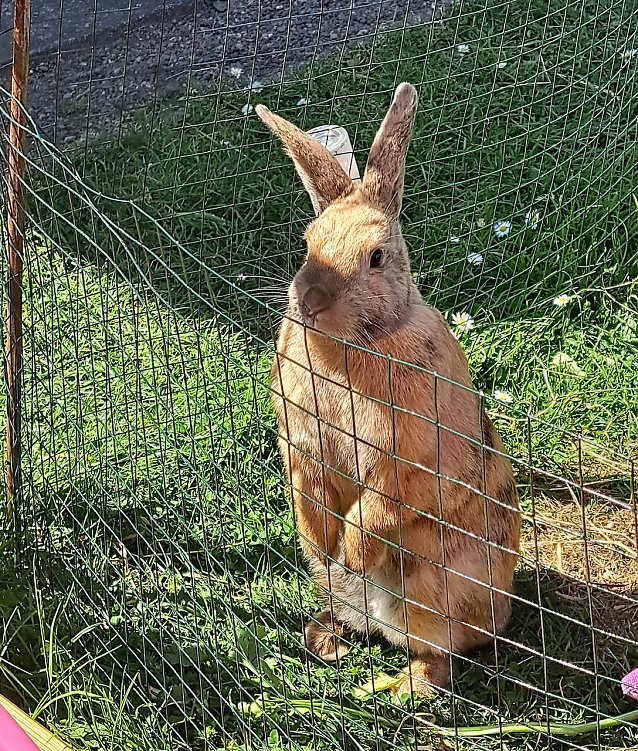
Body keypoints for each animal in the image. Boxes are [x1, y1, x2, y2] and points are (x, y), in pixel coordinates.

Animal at [255, 83, 520, 698]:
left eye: (376, 257)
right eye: (308, 243)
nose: (310, 302)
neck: (353, 345)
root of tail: (502, 615)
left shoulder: (411, 463)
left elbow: (377, 508)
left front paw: (350, 550)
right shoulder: (301, 448)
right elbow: (309, 497)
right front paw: (321, 540)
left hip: (429, 592)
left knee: (439, 654)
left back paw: (400, 688)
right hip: (346, 592)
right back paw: (322, 637)